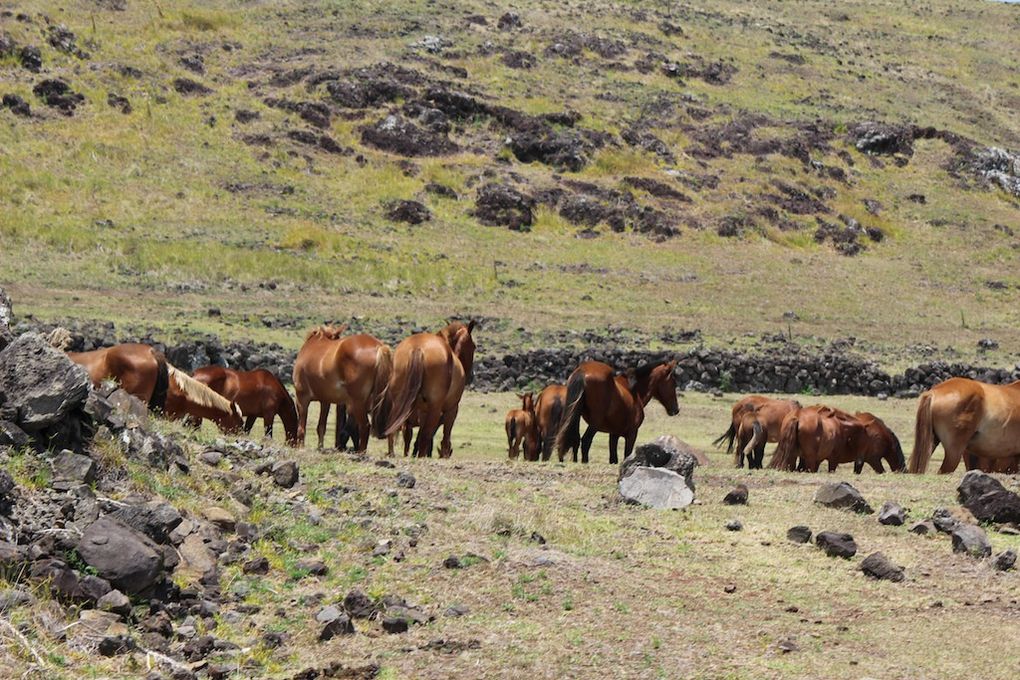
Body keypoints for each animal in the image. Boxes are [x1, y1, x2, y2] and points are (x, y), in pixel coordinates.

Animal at [379, 322, 477, 460]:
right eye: (474, 346)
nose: (472, 375)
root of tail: (418, 348)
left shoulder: (423, 412)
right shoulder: (451, 410)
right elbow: (443, 439)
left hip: (398, 404)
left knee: (394, 431)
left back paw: (392, 454)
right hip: (434, 409)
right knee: (424, 436)